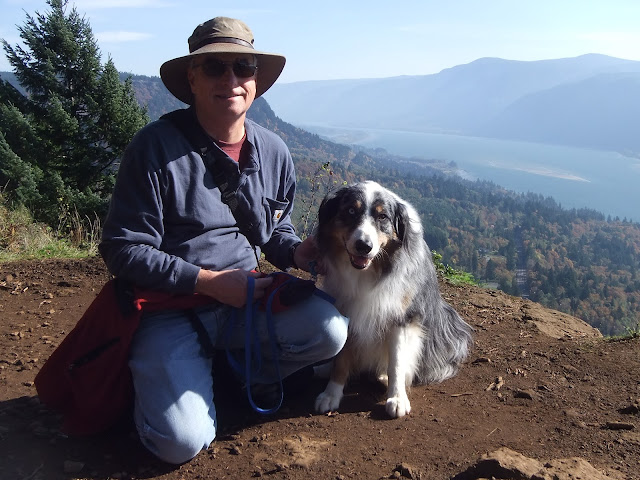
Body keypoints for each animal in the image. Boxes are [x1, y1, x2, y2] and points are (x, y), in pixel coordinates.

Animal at [312, 180, 472, 416]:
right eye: (350, 211)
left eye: (382, 217)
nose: (364, 246)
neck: (368, 273)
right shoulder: (347, 310)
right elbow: (341, 359)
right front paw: (331, 394)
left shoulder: (401, 318)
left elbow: (396, 363)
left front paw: (397, 399)